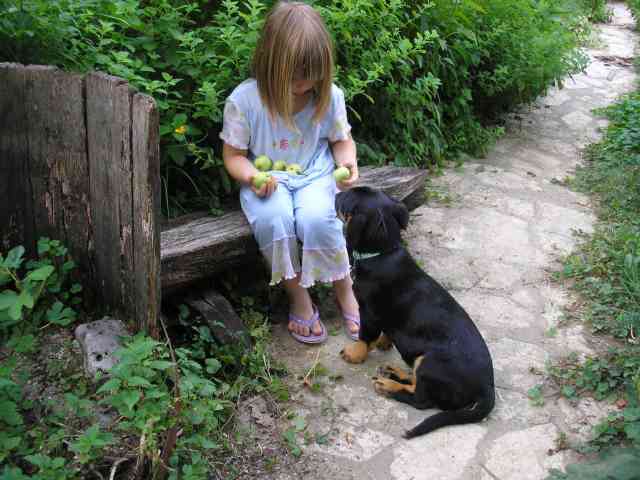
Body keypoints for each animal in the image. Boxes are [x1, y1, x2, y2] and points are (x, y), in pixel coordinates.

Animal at [336, 187, 496, 438]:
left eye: (346, 198)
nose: (335, 194)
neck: (383, 253)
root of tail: (487, 387)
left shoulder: (368, 311)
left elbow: (365, 336)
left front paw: (354, 354)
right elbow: (385, 331)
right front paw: (384, 343)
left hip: (430, 361)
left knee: (421, 399)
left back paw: (388, 386)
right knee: (416, 384)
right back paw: (395, 373)